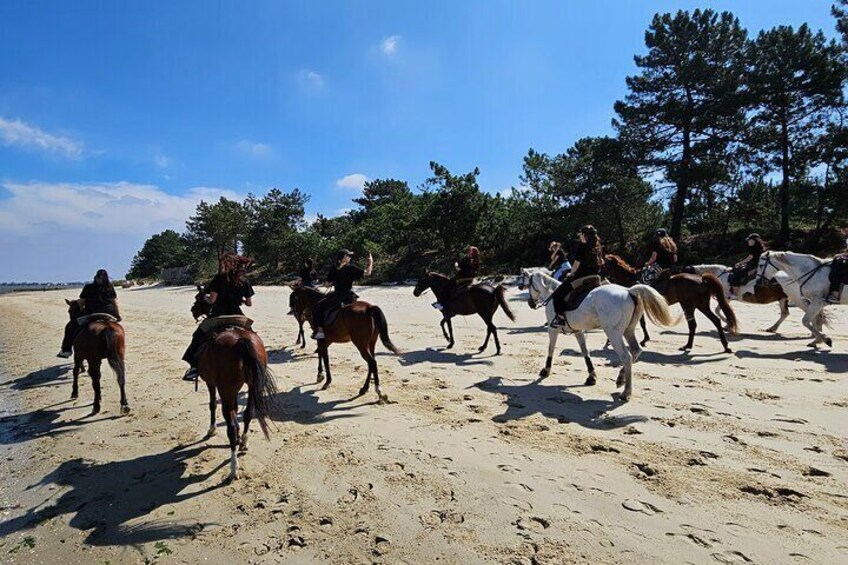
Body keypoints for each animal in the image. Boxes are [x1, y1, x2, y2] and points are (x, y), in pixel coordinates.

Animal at [520, 268, 680, 400]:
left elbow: (551, 348)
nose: (530, 303)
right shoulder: (578, 330)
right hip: (628, 330)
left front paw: (545, 370)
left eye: (527, 284)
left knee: (626, 357)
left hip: (613, 333)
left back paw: (626, 392)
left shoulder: (553, 329)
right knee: (636, 350)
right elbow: (585, 351)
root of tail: (629, 291)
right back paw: (621, 379)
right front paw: (591, 376)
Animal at [604, 256, 736, 352]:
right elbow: (642, 323)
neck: (629, 279)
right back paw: (725, 346)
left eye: (603, 264)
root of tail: (702, 279)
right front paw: (645, 339)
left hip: (688, 306)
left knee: (693, 325)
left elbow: (640, 323)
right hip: (701, 305)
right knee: (715, 321)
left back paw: (688, 345)